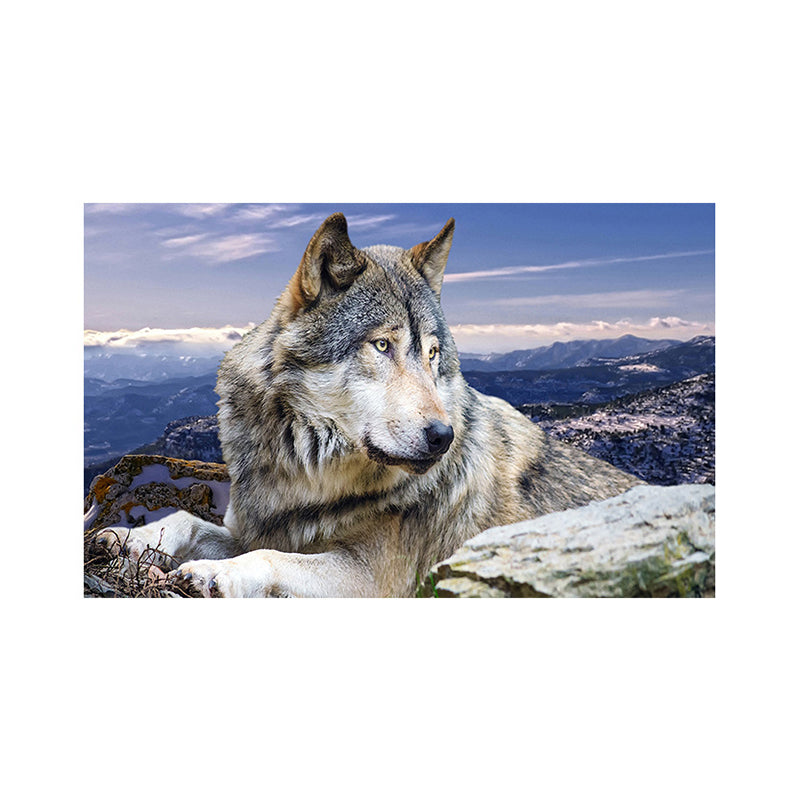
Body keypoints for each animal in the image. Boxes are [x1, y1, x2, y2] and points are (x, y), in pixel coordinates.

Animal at [94, 213, 641, 597]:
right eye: (382, 345)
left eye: (432, 354)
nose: (443, 437)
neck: (307, 476)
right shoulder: (261, 527)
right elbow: (188, 521)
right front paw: (127, 537)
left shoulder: (371, 578)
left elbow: (269, 559)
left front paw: (212, 575)